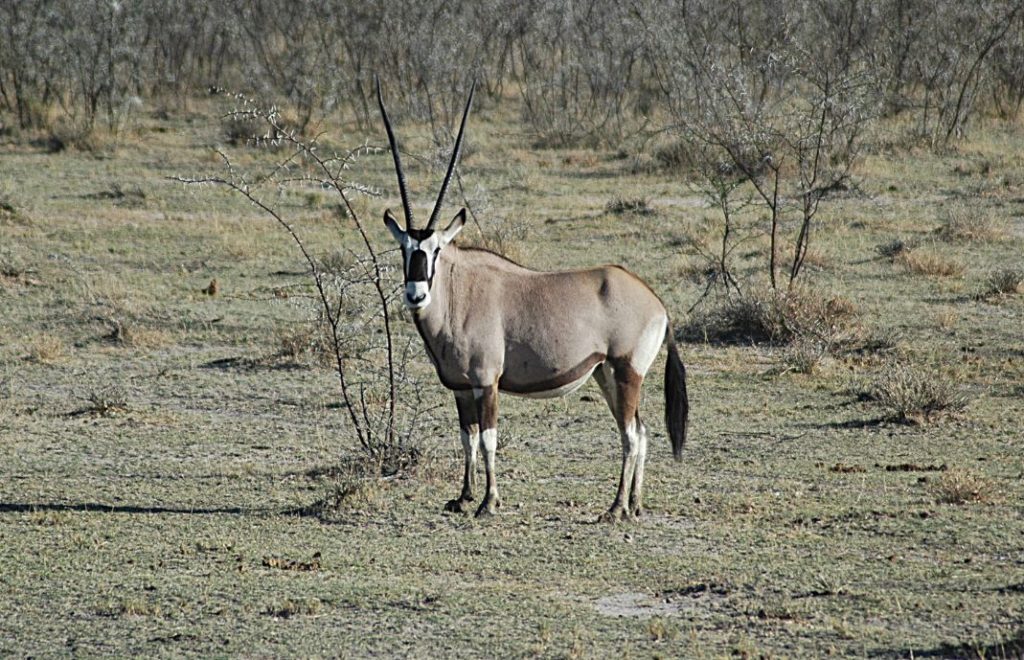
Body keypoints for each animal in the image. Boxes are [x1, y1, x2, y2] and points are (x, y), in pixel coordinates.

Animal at [376, 78, 688, 519]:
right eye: (404, 249)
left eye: (435, 250)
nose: (416, 294)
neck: (459, 293)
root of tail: (657, 303)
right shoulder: (460, 388)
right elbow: (467, 437)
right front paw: (463, 496)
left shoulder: (486, 382)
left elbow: (488, 438)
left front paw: (488, 502)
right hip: (606, 375)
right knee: (640, 432)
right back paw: (635, 504)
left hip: (627, 372)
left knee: (630, 435)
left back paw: (615, 508)